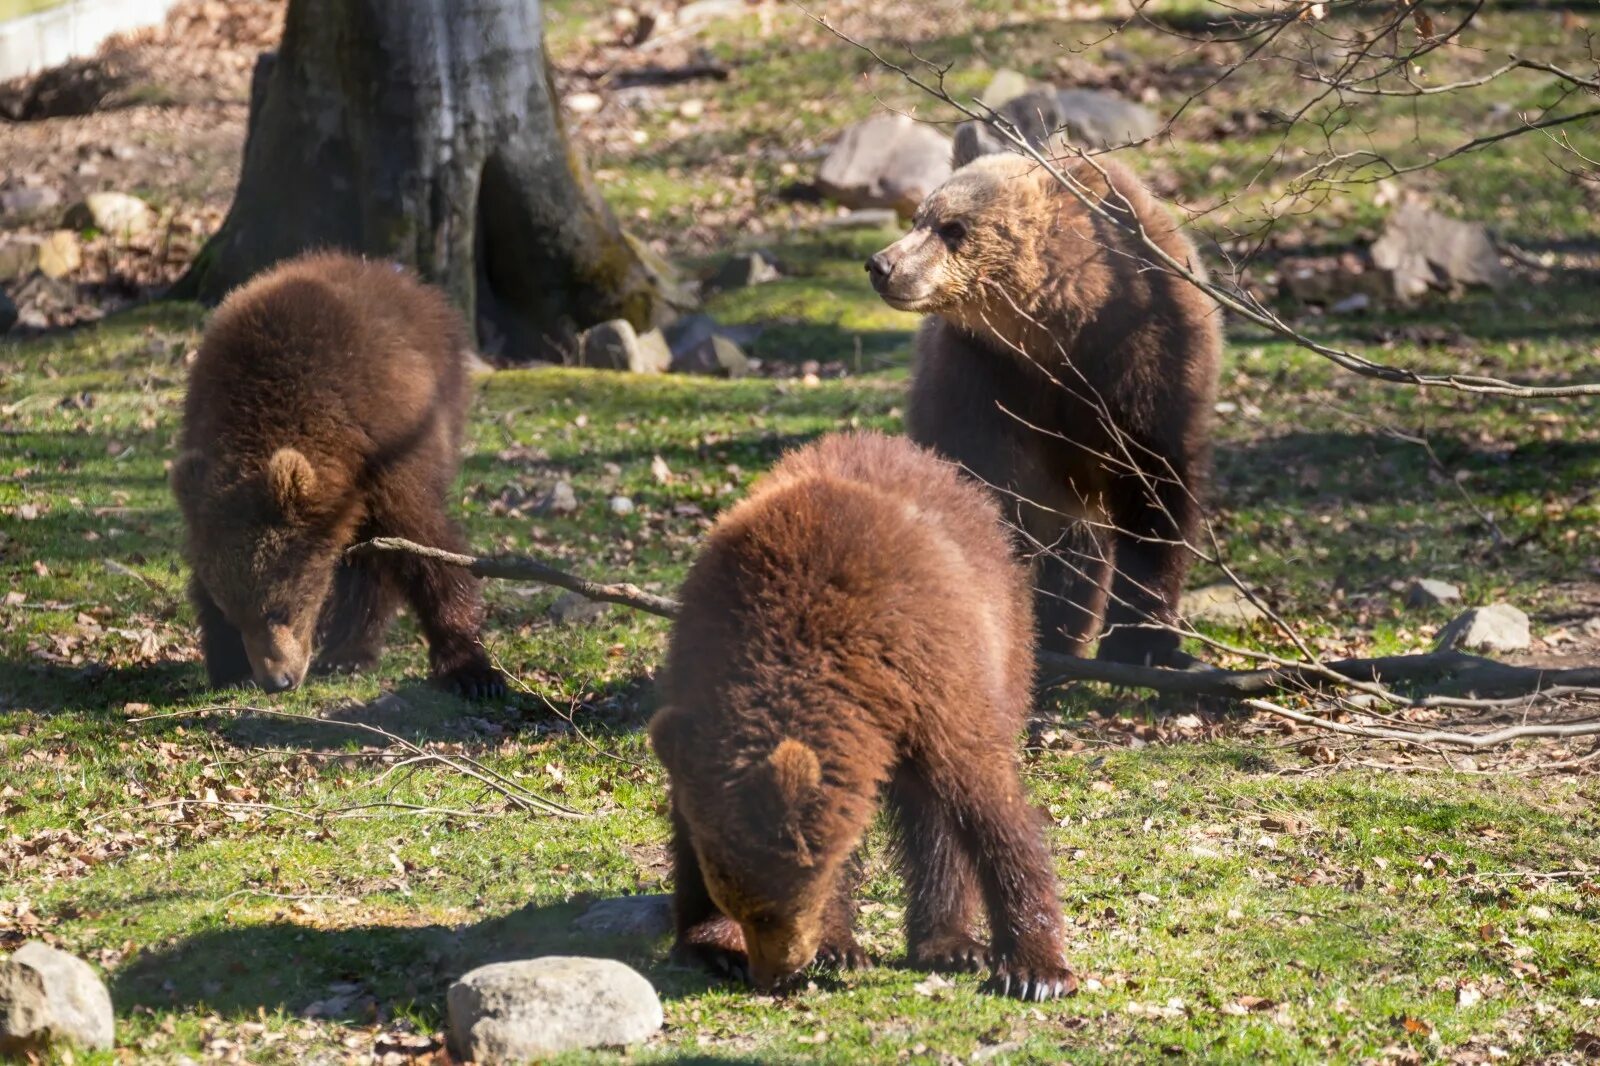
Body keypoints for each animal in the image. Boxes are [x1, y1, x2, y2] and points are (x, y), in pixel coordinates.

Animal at [172, 249, 502, 697]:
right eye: (234, 613)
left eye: (280, 608)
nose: (277, 679)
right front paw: (228, 663)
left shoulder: (389, 449)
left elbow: (428, 546)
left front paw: (471, 669)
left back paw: (349, 651)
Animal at [649, 428, 1075, 998]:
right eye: (742, 907)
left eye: (767, 913)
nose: (771, 973)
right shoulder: (697, 681)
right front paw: (717, 946)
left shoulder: (929, 677)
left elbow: (985, 805)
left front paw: (1035, 971)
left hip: (1003, 643)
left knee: (934, 820)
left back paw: (950, 942)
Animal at [870, 151, 1216, 665]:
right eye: (918, 218)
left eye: (954, 227)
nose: (882, 264)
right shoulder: (980, 376)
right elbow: (982, 483)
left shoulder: (1149, 360)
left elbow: (1156, 493)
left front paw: (1145, 640)